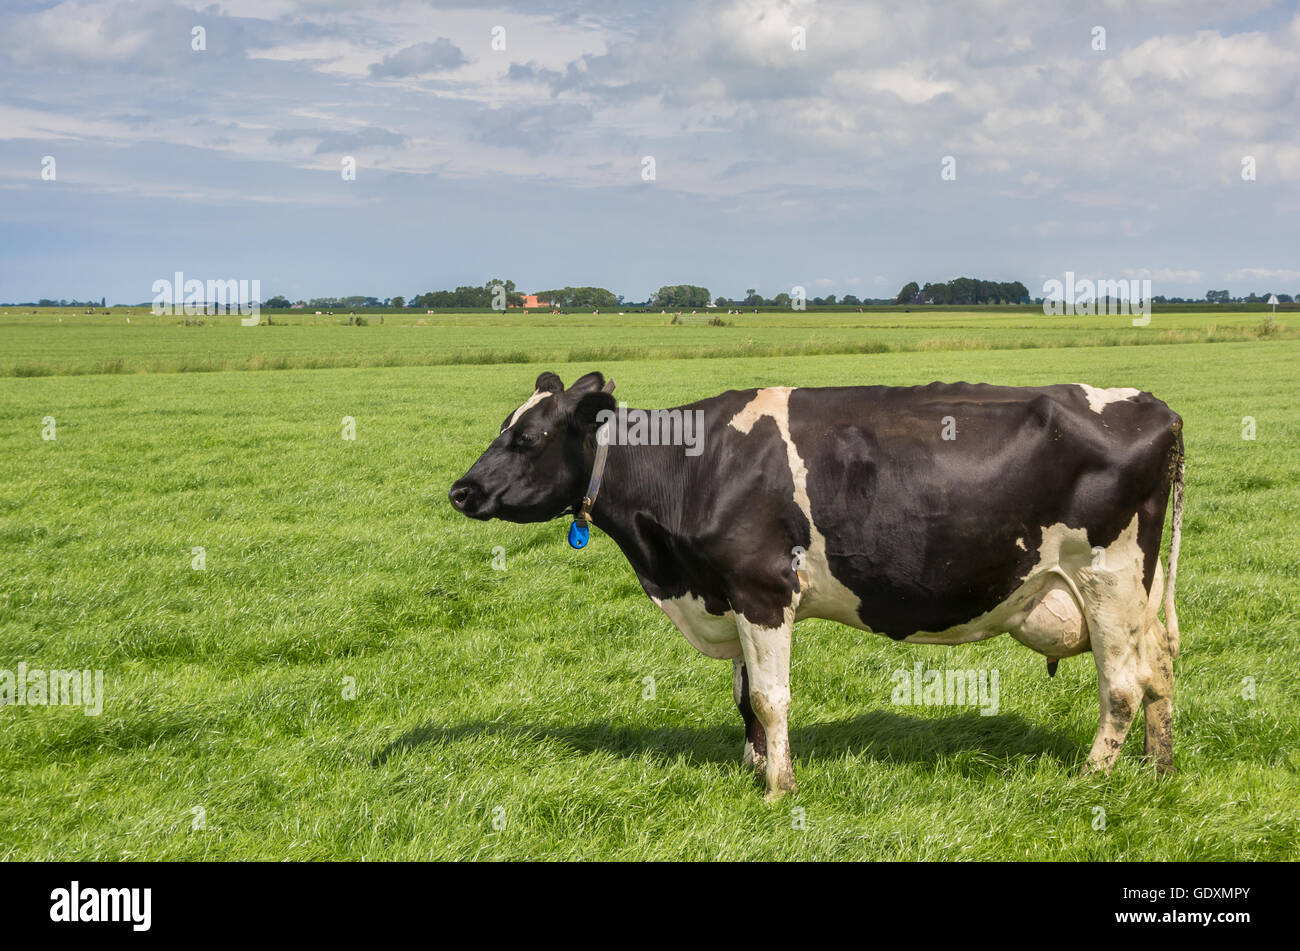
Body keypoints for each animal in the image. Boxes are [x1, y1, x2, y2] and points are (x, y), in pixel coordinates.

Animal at [449, 371, 1185, 800]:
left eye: (530, 436)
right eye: (504, 426)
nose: (460, 490)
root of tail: (1155, 406)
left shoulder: (762, 588)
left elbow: (769, 697)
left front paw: (779, 788)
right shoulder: (731, 594)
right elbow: (744, 696)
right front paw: (755, 768)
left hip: (1108, 575)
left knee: (1122, 684)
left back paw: (1090, 778)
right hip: (1140, 590)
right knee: (1159, 669)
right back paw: (1160, 767)